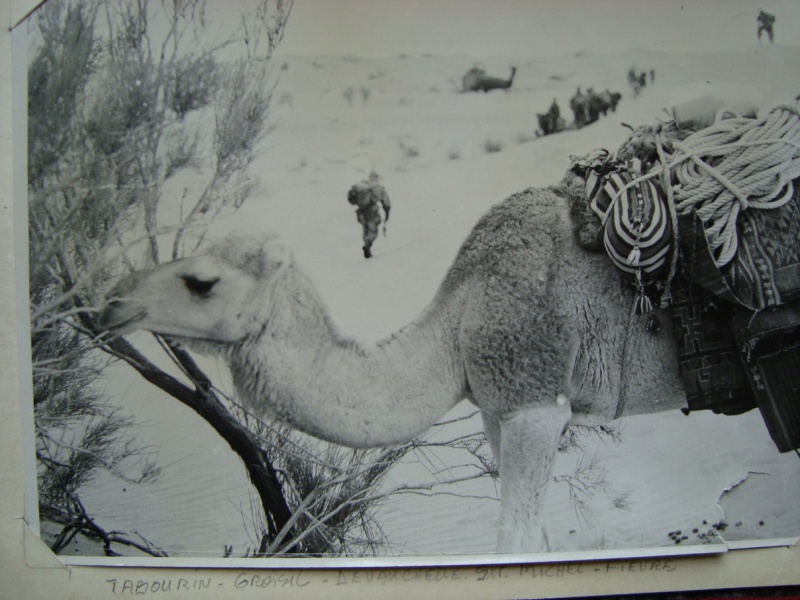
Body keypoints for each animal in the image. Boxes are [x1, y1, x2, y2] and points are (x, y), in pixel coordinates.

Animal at [100, 186, 688, 552]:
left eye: (201, 281)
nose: (112, 305)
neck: (460, 317)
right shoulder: (498, 410)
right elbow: (535, 538)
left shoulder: (535, 402)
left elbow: (515, 540)